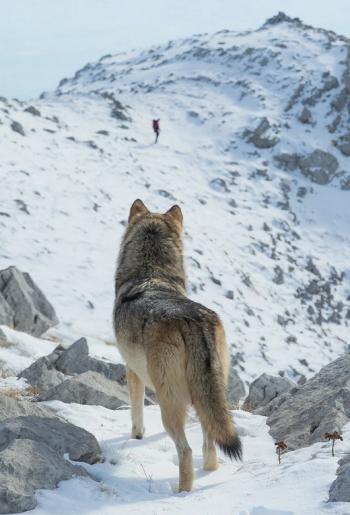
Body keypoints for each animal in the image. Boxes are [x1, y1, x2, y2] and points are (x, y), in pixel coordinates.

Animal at [113, 199, 242, 492]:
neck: (150, 273)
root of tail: (196, 322)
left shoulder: (132, 371)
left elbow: (136, 411)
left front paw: (136, 436)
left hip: (168, 400)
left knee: (186, 451)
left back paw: (181, 492)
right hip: (209, 395)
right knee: (209, 443)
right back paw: (208, 473)